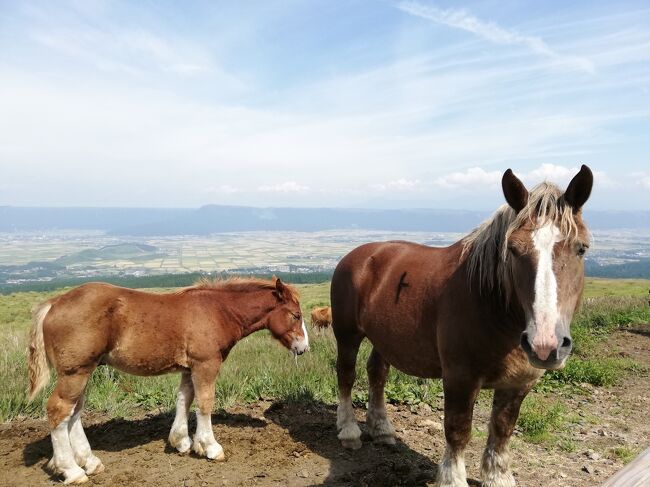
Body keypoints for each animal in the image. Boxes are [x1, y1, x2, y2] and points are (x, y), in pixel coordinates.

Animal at [27, 276, 306, 486]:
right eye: (295, 315)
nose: (304, 348)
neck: (218, 311)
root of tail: (54, 303)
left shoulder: (189, 367)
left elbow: (185, 399)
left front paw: (183, 442)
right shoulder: (206, 364)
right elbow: (205, 402)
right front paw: (210, 447)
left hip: (83, 371)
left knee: (74, 413)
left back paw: (89, 462)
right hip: (75, 372)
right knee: (59, 410)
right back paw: (71, 470)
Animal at [332, 166, 588, 486]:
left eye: (581, 249)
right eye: (513, 249)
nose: (545, 344)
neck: (492, 305)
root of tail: (356, 255)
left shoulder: (519, 383)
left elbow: (502, 429)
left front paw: (497, 476)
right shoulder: (459, 377)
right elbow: (458, 430)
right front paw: (453, 477)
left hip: (384, 337)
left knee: (377, 373)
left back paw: (382, 429)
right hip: (347, 334)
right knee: (346, 375)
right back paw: (349, 431)